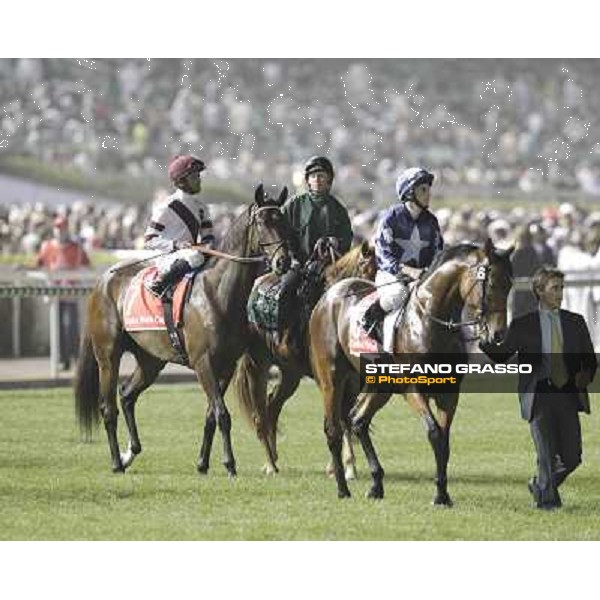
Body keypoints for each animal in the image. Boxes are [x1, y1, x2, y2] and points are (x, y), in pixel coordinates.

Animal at [75, 185, 290, 476]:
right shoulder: (203, 363)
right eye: (263, 222)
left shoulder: (226, 366)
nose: (283, 261)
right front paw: (230, 464)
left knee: (127, 396)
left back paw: (131, 452)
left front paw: (203, 463)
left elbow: (211, 415)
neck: (217, 294)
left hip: (151, 360)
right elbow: (222, 414)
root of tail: (102, 280)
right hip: (108, 356)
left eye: (283, 220)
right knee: (108, 408)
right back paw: (117, 462)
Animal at [234, 238, 376, 474]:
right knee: (260, 415)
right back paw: (270, 464)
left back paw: (273, 457)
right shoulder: (328, 377)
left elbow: (344, 416)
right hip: (258, 366)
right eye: (364, 270)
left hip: (290, 374)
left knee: (273, 407)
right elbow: (339, 416)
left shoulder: (352, 380)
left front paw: (341, 465)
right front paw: (346, 466)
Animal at [310, 239, 510, 502]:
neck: (430, 321)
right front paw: (439, 495)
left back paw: (376, 484)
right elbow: (434, 432)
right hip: (332, 380)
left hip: (378, 386)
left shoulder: (449, 393)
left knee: (358, 421)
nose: (497, 335)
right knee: (334, 429)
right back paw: (343, 488)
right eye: (492, 283)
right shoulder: (412, 388)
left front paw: (443, 493)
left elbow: (445, 440)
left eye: (510, 285)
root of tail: (329, 296)